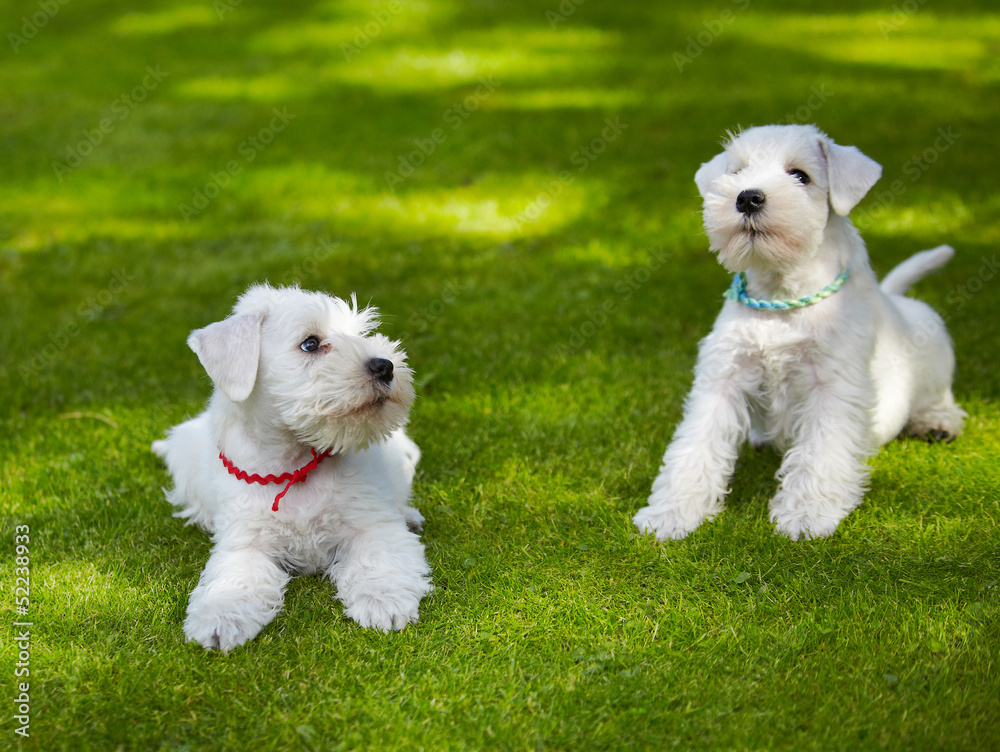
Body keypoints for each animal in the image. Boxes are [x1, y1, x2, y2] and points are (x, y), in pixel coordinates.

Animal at [151, 284, 430, 648]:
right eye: (310, 343)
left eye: (361, 333)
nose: (386, 366)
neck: (294, 465)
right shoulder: (246, 543)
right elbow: (234, 580)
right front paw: (220, 619)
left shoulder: (369, 523)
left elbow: (378, 559)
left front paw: (384, 600)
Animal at [632, 126, 968, 544]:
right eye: (737, 171)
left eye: (800, 175)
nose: (748, 197)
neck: (781, 295)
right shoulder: (722, 377)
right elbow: (695, 445)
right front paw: (671, 513)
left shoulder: (831, 387)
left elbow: (820, 452)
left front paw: (807, 514)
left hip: (936, 369)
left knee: (941, 399)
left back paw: (937, 423)